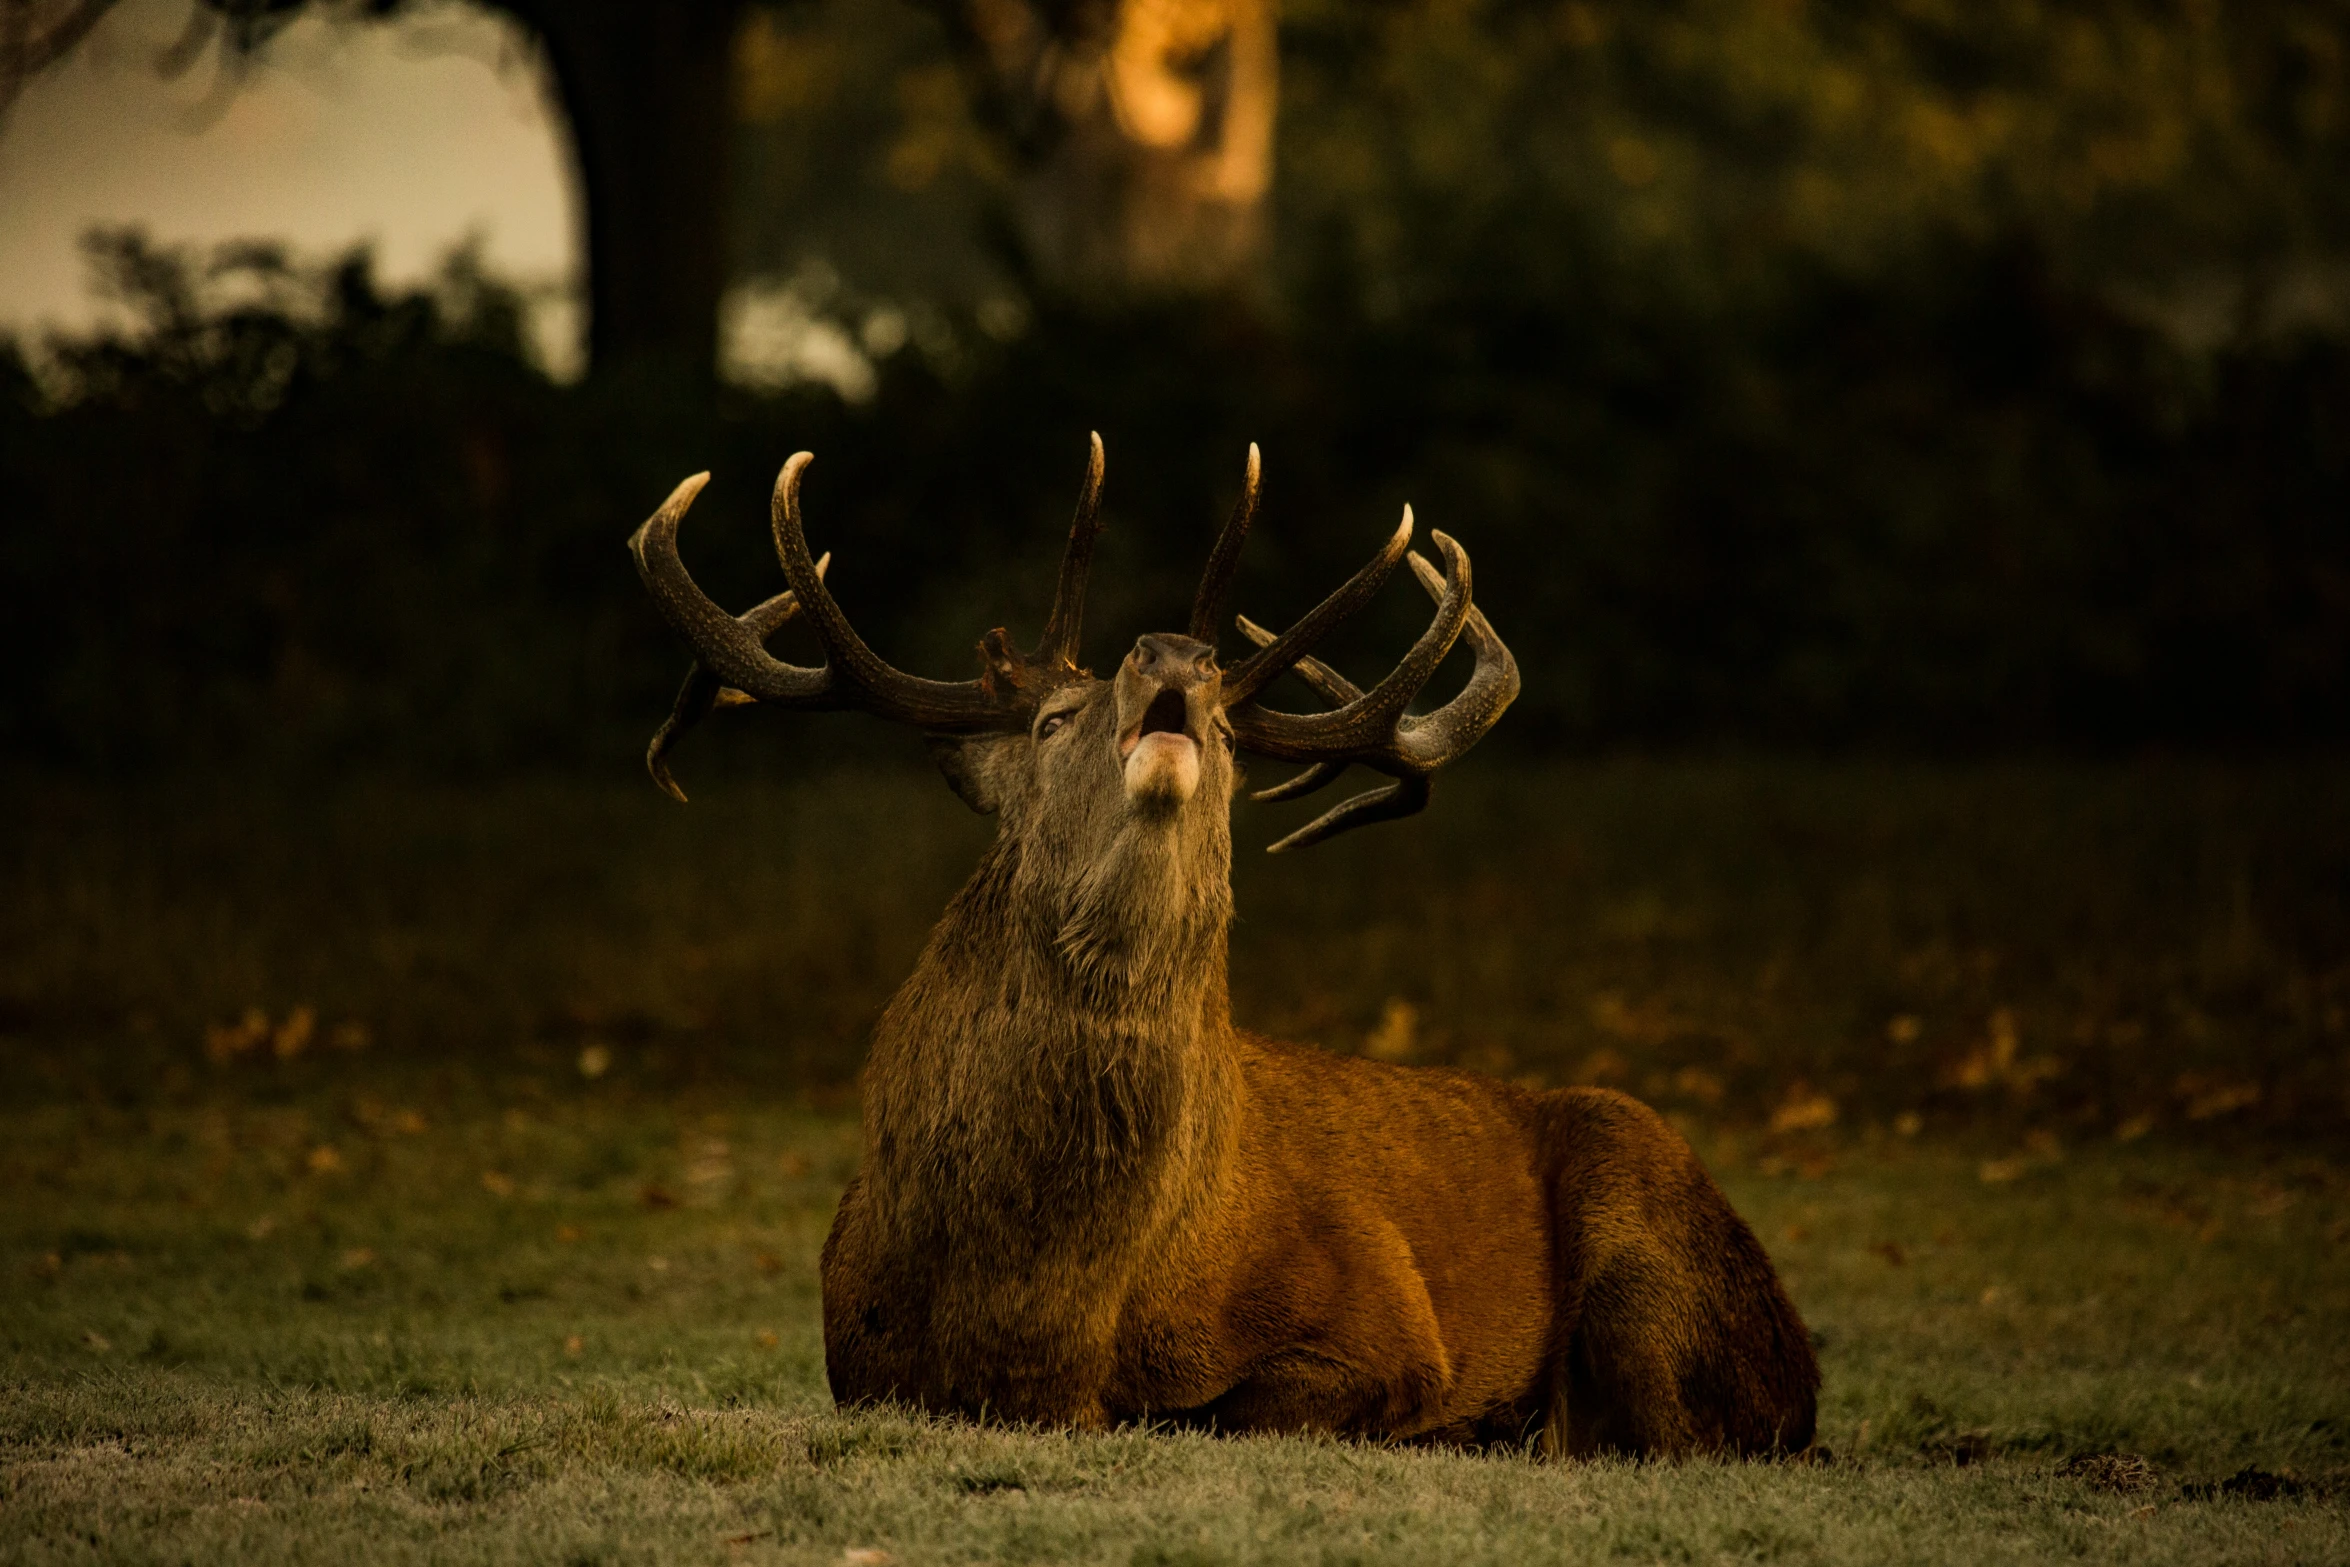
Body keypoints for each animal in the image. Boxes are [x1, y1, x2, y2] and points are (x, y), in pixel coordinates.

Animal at [625, 441, 1814, 1456]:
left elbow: (1229, 1409)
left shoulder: (1390, 1326)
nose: (1177, 655)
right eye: (1053, 719)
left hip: (1648, 1241)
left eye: (1238, 738)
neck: (1038, 1330)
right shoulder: (858, 1358)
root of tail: (1803, 1374)